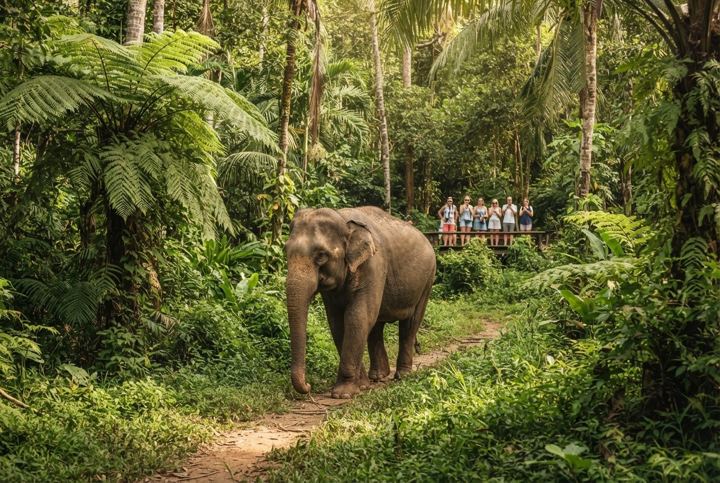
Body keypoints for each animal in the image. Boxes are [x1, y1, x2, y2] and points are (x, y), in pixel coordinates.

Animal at [284, 206, 436, 399]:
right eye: (285, 251)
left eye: (321, 255)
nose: (309, 386)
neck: (343, 220)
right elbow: (338, 323)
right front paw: (361, 385)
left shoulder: (373, 265)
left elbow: (357, 317)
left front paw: (342, 394)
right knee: (376, 326)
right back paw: (378, 376)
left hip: (427, 280)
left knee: (410, 324)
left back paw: (402, 375)